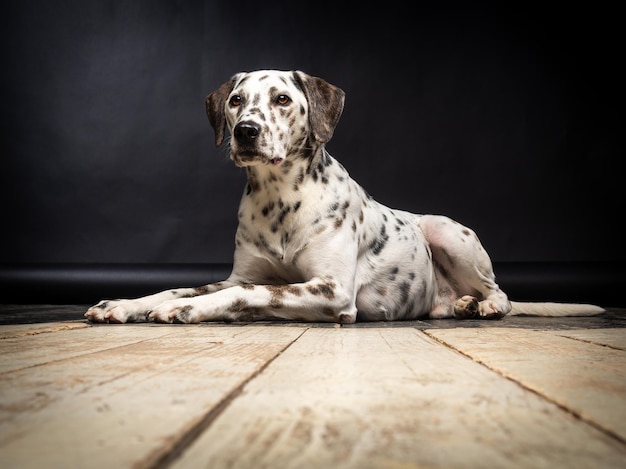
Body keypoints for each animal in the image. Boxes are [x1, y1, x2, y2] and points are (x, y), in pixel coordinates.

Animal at [83, 69, 600, 324]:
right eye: (235, 101)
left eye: (282, 99)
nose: (246, 132)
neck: (280, 201)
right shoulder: (239, 275)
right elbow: (189, 285)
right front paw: (125, 303)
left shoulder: (331, 291)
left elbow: (250, 293)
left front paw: (185, 309)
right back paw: (462, 305)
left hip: (446, 231)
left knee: (502, 293)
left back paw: (486, 305)